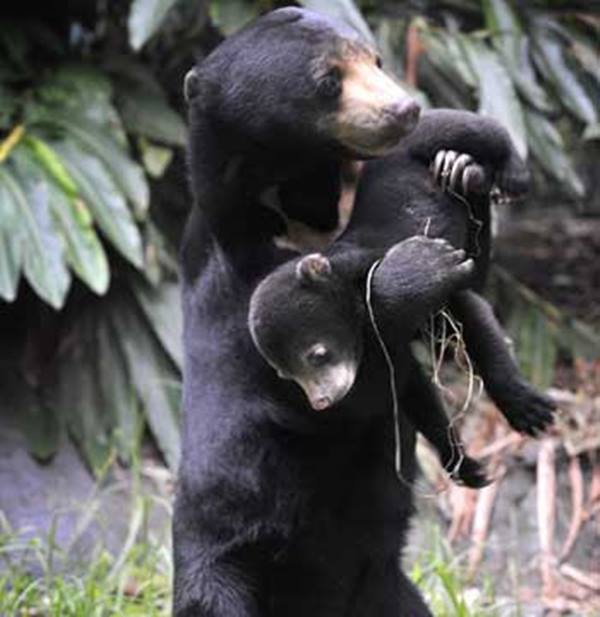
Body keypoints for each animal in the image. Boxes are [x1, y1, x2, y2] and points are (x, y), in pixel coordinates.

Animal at [173, 6, 454, 616]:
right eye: (328, 82)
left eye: (376, 59)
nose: (406, 109)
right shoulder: (244, 307)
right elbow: (345, 385)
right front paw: (417, 269)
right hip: (222, 565)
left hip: (385, 585)